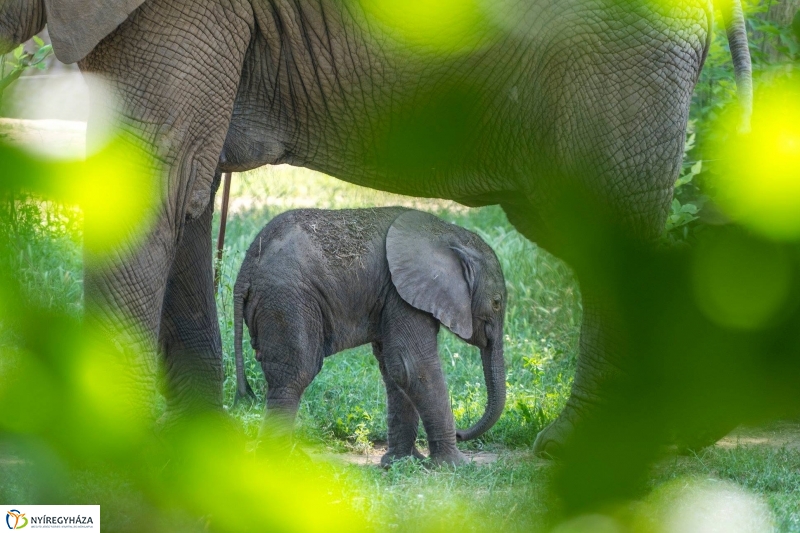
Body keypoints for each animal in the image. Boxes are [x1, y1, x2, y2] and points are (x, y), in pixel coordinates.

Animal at [233, 208, 506, 466]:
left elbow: (396, 369)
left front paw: (401, 463)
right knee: (293, 377)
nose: (461, 432)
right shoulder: (403, 293)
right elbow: (414, 366)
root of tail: (247, 267)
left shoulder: (392, 294)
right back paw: (281, 464)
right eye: (496, 303)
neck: (449, 233)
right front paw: (456, 466)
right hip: (286, 300)